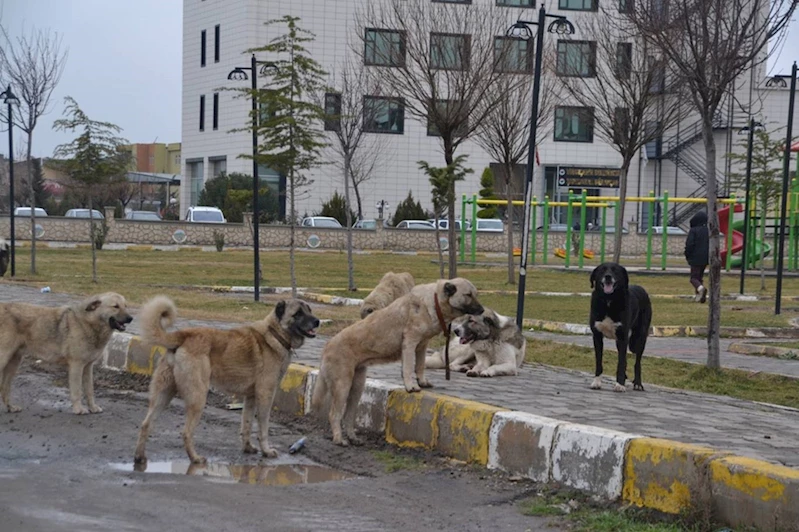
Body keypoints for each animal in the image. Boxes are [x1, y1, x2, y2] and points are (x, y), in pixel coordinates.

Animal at [0, 294, 133, 414]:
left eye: (126, 306)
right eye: (115, 306)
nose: (131, 318)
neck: (89, 323)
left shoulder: (88, 367)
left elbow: (89, 390)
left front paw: (93, 407)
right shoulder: (76, 366)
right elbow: (77, 391)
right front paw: (78, 409)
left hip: (14, 362)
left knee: (5, 388)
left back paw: (10, 407)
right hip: (4, 359)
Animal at [134, 300, 318, 466]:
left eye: (309, 309)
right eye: (298, 313)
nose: (317, 321)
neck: (274, 334)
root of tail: (184, 334)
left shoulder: (251, 398)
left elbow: (246, 424)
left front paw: (247, 448)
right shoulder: (265, 395)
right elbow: (263, 428)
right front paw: (266, 451)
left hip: (163, 395)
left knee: (145, 424)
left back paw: (139, 457)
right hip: (198, 398)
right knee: (186, 432)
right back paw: (195, 458)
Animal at [312, 276, 482, 446]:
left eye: (475, 294)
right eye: (468, 295)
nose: (481, 310)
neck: (435, 301)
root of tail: (327, 346)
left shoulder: (422, 345)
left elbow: (420, 366)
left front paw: (422, 382)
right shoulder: (410, 342)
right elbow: (408, 368)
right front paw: (411, 386)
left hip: (357, 388)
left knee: (348, 415)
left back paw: (353, 437)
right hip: (342, 385)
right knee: (334, 414)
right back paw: (339, 439)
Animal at [592, 262, 652, 390]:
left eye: (615, 270)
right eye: (602, 270)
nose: (608, 276)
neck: (609, 300)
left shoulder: (623, 337)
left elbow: (621, 362)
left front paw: (620, 385)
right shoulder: (597, 336)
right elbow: (599, 361)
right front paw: (597, 382)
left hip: (639, 339)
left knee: (637, 361)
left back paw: (637, 384)